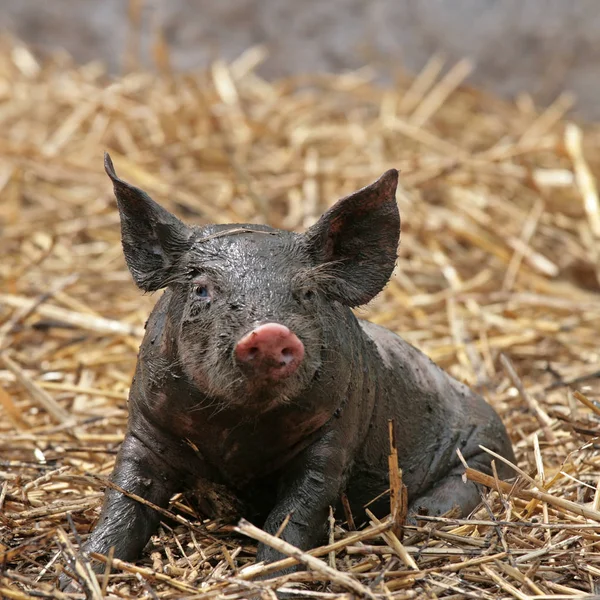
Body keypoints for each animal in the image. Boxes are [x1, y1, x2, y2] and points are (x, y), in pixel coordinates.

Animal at [58, 155, 512, 592]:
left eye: (306, 292)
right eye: (202, 289)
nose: (271, 332)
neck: (236, 432)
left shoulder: (333, 440)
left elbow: (293, 517)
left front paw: (266, 582)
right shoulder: (146, 426)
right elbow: (124, 498)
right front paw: (75, 576)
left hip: (486, 446)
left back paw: (419, 515)